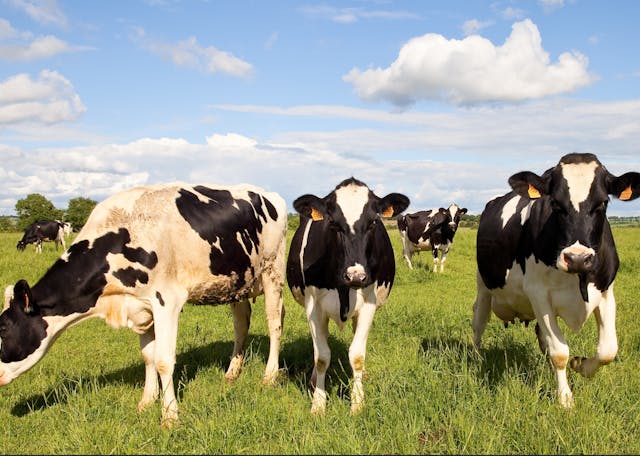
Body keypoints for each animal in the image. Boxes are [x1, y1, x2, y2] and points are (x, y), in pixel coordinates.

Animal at [0, 183, 287, 427]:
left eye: (3, 328)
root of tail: (271, 194)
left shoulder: (166, 301)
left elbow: (163, 360)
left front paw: (169, 416)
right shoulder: (140, 307)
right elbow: (148, 356)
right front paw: (147, 401)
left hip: (272, 271)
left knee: (274, 323)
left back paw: (269, 376)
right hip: (237, 282)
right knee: (241, 324)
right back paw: (231, 373)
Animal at [287, 177, 409, 415]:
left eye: (372, 223)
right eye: (333, 223)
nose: (356, 275)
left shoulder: (369, 304)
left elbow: (357, 356)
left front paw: (357, 403)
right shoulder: (313, 307)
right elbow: (322, 357)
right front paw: (318, 404)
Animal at [472, 153, 640, 408]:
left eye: (602, 203)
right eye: (555, 204)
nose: (578, 258)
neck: (578, 278)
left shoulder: (605, 291)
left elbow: (608, 349)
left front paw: (581, 365)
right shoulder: (538, 294)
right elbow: (560, 352)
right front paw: (565, 399)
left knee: (542, 336)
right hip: (484, 285)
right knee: (479, 322)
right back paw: (477, 357)